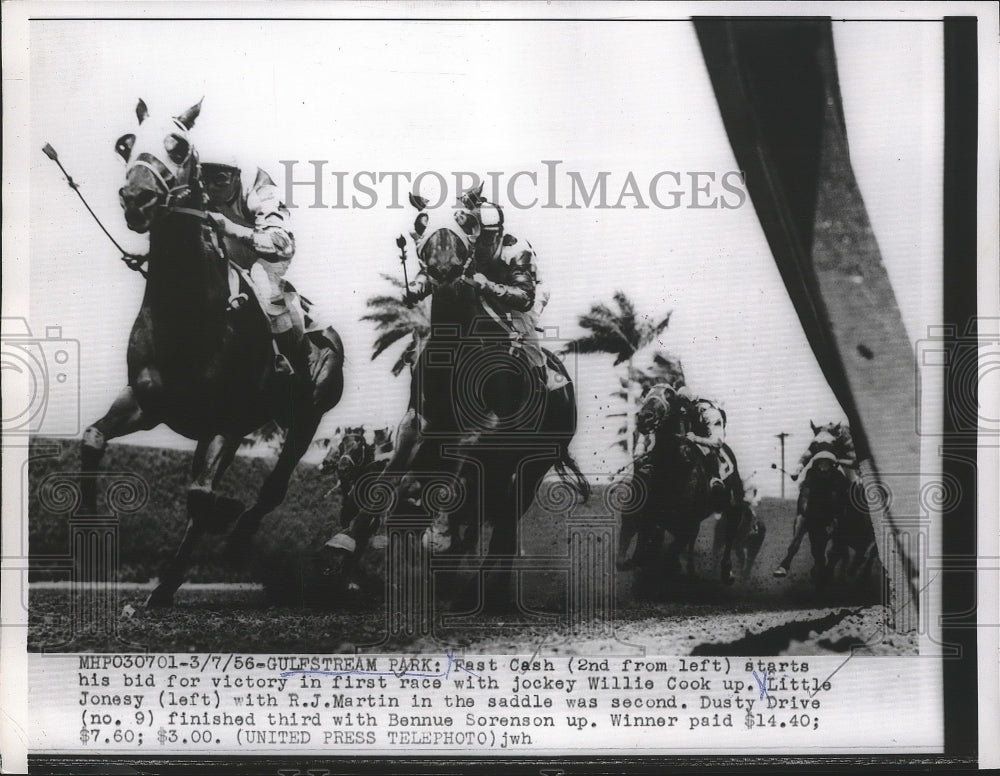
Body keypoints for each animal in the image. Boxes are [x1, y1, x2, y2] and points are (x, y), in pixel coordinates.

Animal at [80, 98, 344, 608]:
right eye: (125, 145)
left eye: (179, 145)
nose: (137, 198)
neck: (189, 317)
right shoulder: (146, 403)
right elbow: (93, 438)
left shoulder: (227, 421)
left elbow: (202, 495)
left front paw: (167, 583)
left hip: (306, 415)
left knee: (273, 487)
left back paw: (236, 540)